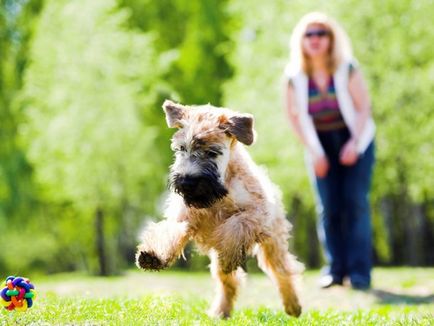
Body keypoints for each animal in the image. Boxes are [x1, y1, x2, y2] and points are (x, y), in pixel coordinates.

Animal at [136, 100, 302, 318]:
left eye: (212, 152)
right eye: (181, 149)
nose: (186, 182)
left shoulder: (255, 215)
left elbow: (236, 225)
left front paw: (231, 251)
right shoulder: (182, 219)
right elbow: (168, 233)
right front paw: (152, 256)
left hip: (273, 244)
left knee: (283, 271)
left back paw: (292, 305)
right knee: (228, 281)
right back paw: (221, 311)